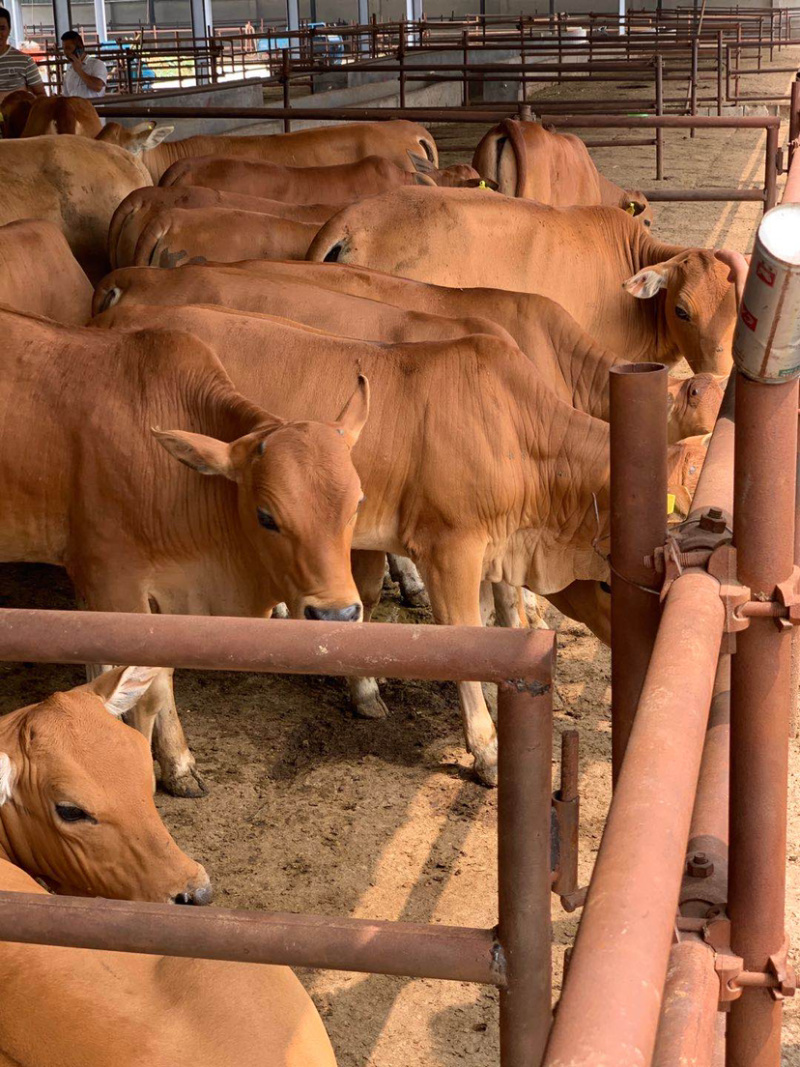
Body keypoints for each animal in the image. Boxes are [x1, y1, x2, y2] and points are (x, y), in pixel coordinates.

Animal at [0, 309, 369, 793]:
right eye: (266, 516)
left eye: (357, 502)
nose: (337, 616)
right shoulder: (114, 582)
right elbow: (143, 691)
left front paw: (177, 763)